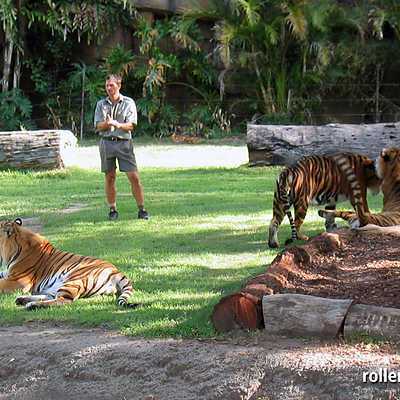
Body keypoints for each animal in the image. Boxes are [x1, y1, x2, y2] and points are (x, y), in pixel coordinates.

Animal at [0, 219, 138, 310]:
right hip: (56, 285)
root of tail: (117, 271)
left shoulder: (17, 280)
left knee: (64, 300)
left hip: (73, 280)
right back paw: (22, 299)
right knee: (49, 296)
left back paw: (31, 305)